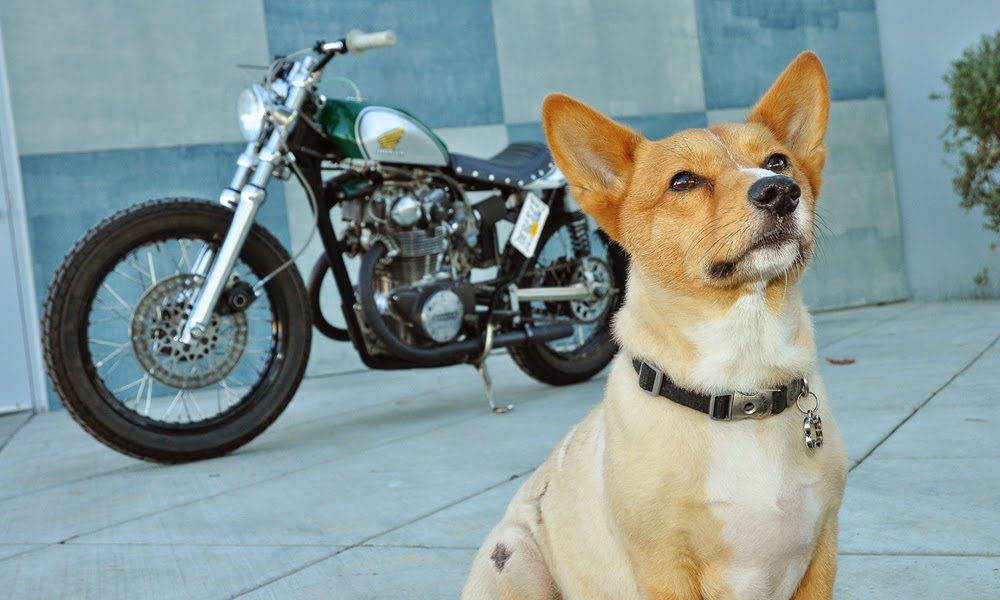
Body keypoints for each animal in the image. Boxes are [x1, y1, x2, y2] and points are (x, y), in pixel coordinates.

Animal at [464, 52, 848, 600]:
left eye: (777, 160)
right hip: (514, 559)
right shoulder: (666, 570)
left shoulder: (821, 551)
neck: (741, 379)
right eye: (683, 181)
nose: (780, 191)